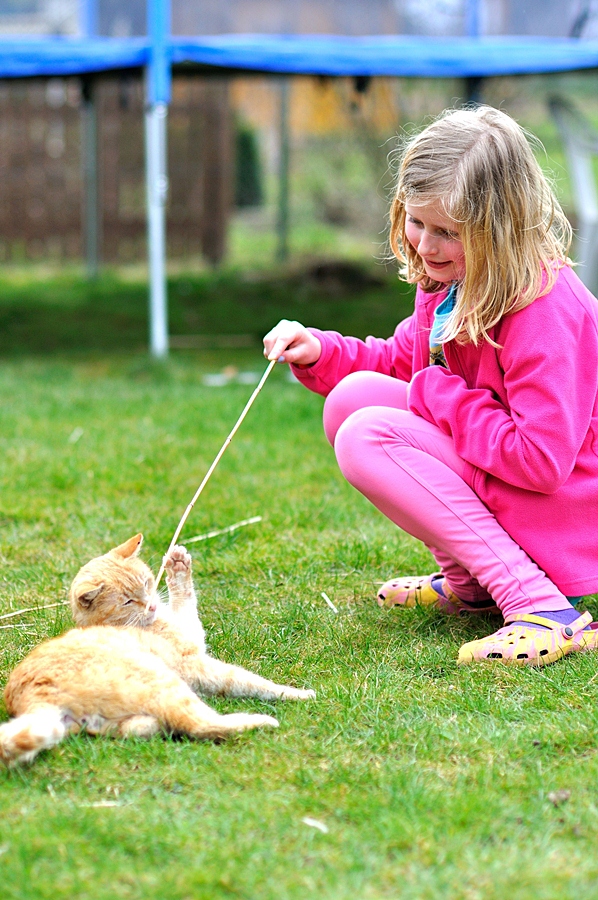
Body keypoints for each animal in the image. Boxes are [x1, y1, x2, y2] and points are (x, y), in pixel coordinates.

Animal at [0, 536, 316, 768]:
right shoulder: (196, 659)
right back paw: (260, 721)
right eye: (128, 601)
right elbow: (249, 681)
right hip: (163, 681)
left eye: (146, 583)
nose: (151, 604)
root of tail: (32, 697)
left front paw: (177, 565)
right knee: (199, 724)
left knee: (139, 729)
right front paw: (297, 693)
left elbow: (183, 598)